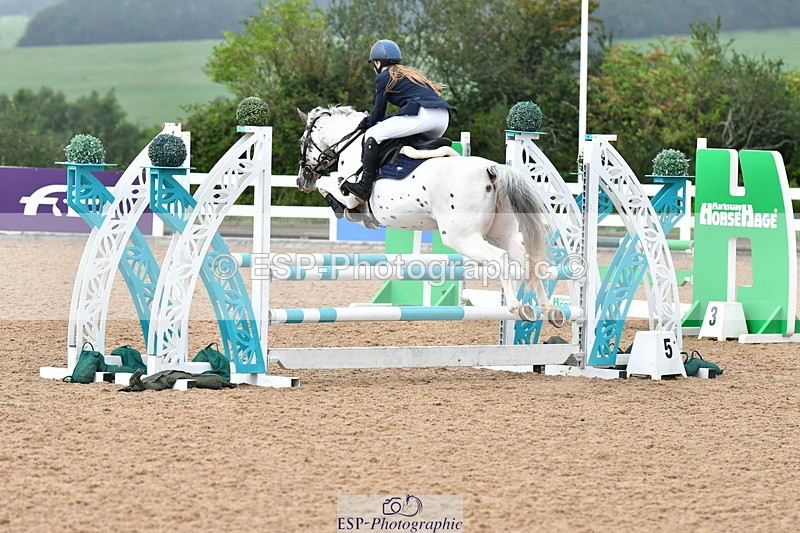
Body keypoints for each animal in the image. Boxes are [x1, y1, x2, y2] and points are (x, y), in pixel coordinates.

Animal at [296, 105, 553, 321]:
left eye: (302, 141)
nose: (302, 180)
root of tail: (490, 170)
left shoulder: (348, 193)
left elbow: (329, 187)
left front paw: (341, 208)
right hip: (500, 233)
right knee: (527, 258)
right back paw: (546, 308)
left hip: (461, 237)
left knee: (500, 258)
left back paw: (516, 306)